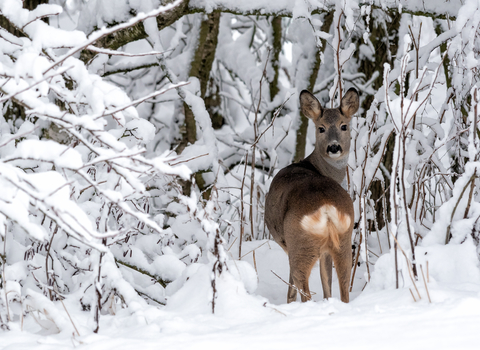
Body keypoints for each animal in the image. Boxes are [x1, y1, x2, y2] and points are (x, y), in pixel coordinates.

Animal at [264, 88, 358, 304]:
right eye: (321, 128)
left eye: (344, 126)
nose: (334, 147)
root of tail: (326, 207)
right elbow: (327, 283)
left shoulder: (286, 243)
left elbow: (291, 288)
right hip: (344, 240)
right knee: (343, 288)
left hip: (300, 243)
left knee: (303, 289)